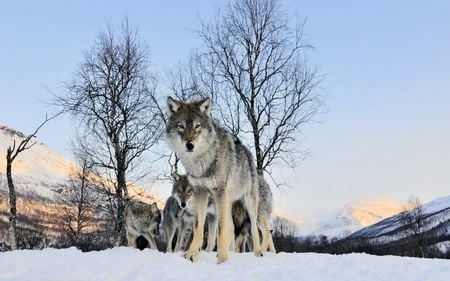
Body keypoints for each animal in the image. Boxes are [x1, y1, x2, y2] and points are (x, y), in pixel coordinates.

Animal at [167, 97, 262, 262]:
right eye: (181, 126)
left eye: (197, 126)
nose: (190, 145)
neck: (201, 162)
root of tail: (247, 151)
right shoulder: (201, 192)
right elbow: (199, 228)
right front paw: (192, 254)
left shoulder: (219, 192)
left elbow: (221, 230)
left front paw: (223, 259)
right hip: (226, 204)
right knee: (231, 228)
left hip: (247, 202)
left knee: (254, 229)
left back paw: (257, 252)